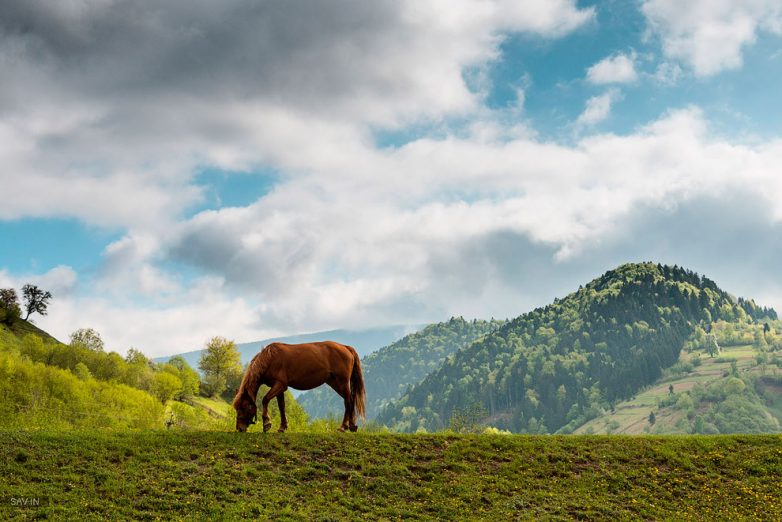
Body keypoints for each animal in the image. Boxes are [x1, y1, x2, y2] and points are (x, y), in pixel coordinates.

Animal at [234, 340, 366, 432]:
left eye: (245, 407)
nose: (239, 428)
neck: (270, 359)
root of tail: (345, 347)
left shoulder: (280, 385)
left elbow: (265, 399)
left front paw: (267, 423)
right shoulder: (279, 388)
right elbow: (282, 406)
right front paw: (282, 427)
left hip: (342, 382)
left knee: (348, 401)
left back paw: (343, 427)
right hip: (335, 383)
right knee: (350, 400)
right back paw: (352, 426)